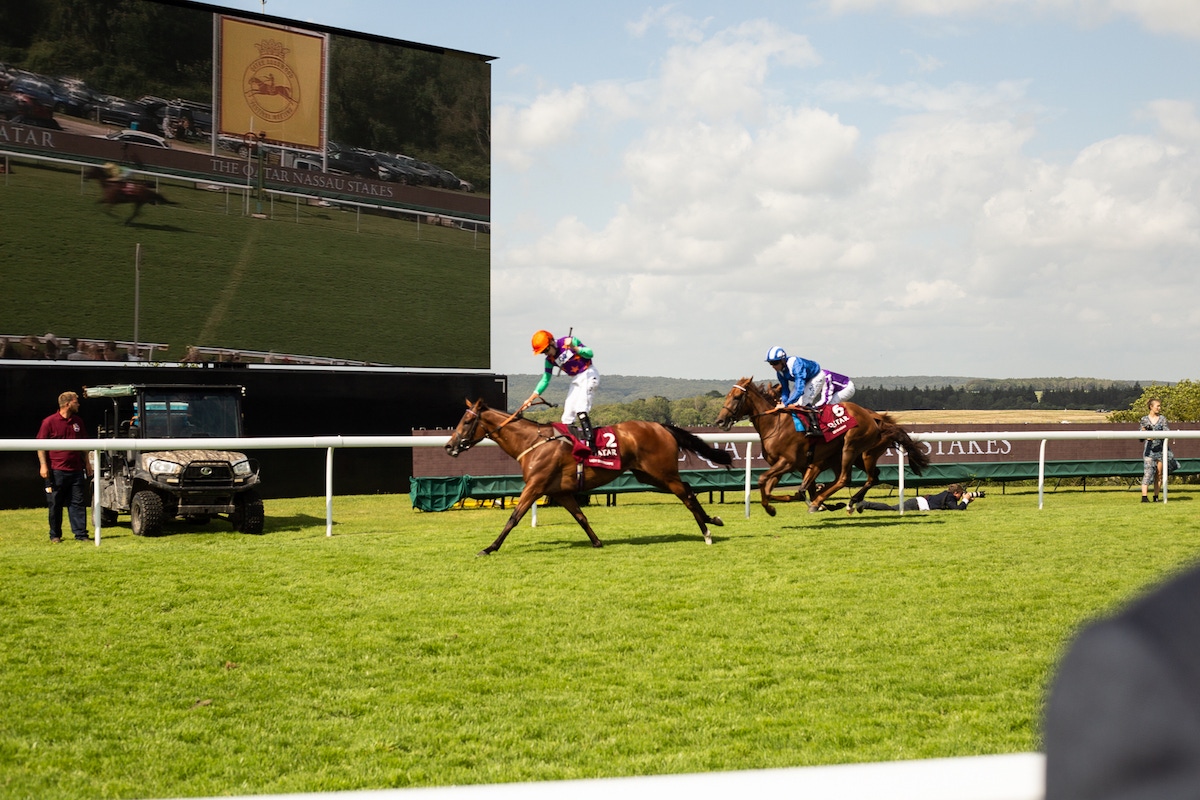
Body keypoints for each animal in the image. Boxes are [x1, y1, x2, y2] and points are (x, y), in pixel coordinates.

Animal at [448, 400, 734, 556]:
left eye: (466, 422)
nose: (449, 446)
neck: (533, 442)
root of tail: (662, 426)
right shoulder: (560, 492)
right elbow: (581, 517)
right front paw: (597, 542)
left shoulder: (535, 486)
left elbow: (513, 518)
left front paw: (489, 547)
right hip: (649, 476)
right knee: (688, 488)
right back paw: (713, 520)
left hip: (661, 472)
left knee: (685, 494)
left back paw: (707, 532)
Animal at [710, 379, 926, 515]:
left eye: (736, 397)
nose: (720, 421)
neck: (775, 423)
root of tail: (875, 418)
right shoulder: (789, 465)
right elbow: (778, 489)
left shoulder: (792, 462)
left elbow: (789, 486)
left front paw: (815, 502)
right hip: (857, 456)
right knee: (871, 477)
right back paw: (846, 502)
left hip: (854, 449)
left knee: (846, 478)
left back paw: (832, 502)